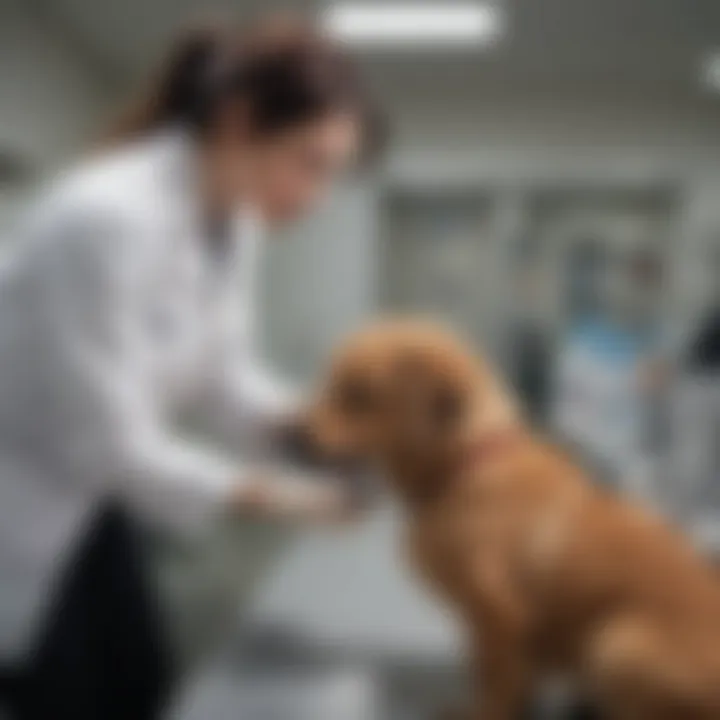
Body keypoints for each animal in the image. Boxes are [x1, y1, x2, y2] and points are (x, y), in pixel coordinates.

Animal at [300, 322, 720, 720]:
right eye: (330, 380)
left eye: (360, 395)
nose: (294, 432)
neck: (464, 467)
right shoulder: (484, 623)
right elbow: (492, 672)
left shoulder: (501, 616)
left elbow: (498, 684)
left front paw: (484, 711)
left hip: (617, 643)